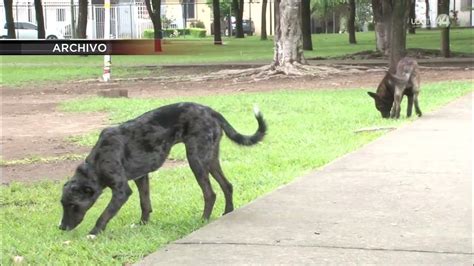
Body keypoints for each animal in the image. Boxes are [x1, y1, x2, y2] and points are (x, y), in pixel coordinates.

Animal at [59, 102, 266, 235]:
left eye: (73, 205)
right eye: (62, 204)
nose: (61, 228)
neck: (96, 164)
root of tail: (211, 110)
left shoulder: (121, 190)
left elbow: (105, 214)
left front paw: (95, 232)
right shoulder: (141, 177)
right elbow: (145, 203)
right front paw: (142, 224)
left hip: (196, 160)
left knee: (210, 193)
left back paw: (203, 220)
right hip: (210, 159)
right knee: (227, 185)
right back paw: (227, 212)